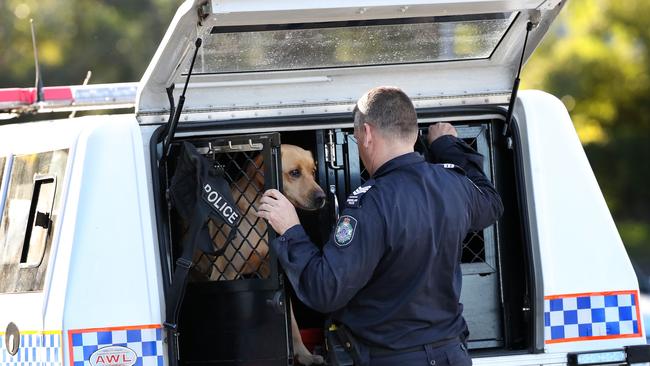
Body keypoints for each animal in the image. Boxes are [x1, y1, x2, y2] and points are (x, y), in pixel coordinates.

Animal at [206, 144, 324, 364]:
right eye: (295, 173)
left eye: (313, 171)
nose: (322, 197)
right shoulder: (226, 273)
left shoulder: (275, 275)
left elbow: (291, 323)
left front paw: (304, 355)